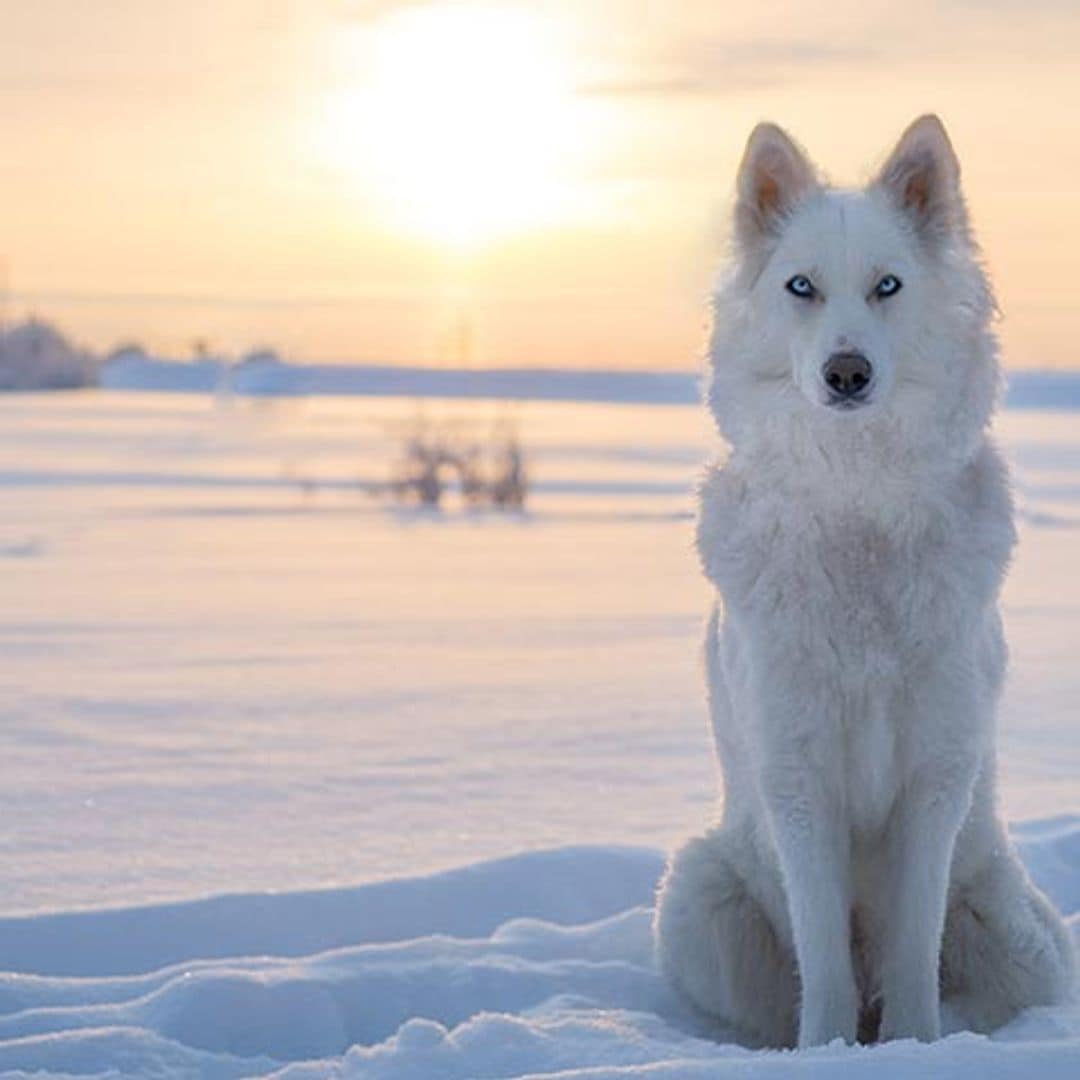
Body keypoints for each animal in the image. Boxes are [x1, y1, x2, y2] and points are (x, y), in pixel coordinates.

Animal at [652, 116, 1075, 1045]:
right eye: (801, 287)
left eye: (888, 286)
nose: (847, 373)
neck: (859, 508)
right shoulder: (798, 780)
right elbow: (825, 961)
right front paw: (829, 1051)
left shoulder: (935, 777)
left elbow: (914, 948)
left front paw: (916, 1046)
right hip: (699, 898)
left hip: (1016, 935)